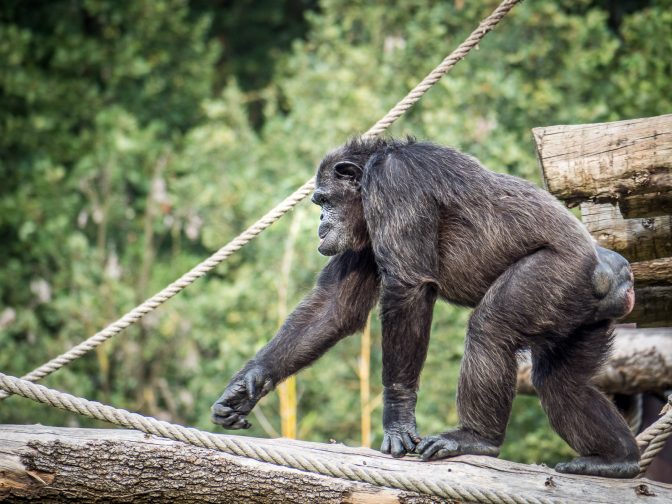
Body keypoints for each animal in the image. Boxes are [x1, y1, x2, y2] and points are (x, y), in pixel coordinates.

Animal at [211, 136, 640, 478]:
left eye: (323, 200)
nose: (320, 222)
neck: (370, 176)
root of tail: (617, 279)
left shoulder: (394, 184)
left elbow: (408, 288)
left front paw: (398, 419)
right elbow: (335, 307)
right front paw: (244, 387)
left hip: (556, 275)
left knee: (491, 328)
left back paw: (475, 438)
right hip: (583, 317)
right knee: (560, 382)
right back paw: (616, 459)